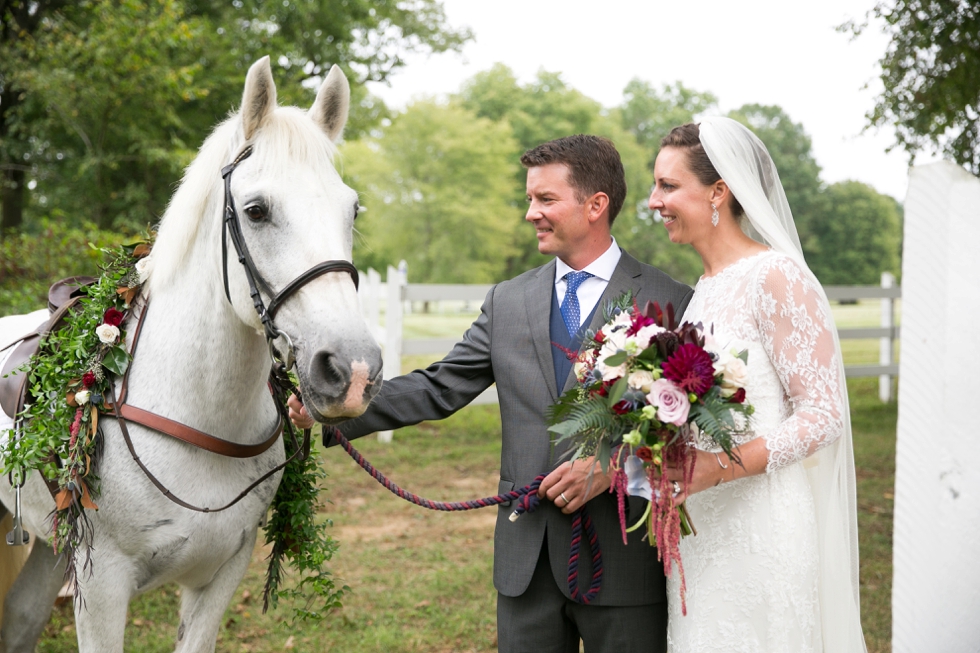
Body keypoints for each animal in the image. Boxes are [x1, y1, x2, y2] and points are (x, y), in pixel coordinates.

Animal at [0, 57, 384, 652]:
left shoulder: (220, 578)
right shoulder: (100, 587)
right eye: (256, 210)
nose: (353, 371)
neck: (197, 414)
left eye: (353, 210)